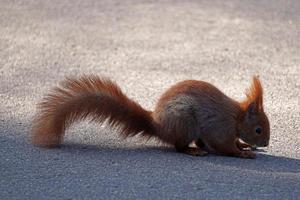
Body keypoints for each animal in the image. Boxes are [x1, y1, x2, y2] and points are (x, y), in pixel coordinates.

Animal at [32, 75, 270, 158]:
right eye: (258, 129)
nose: (266, 143)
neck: (236, 117)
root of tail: (158, 124)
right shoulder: (221, 126)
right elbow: (223, 145)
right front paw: (242, 153)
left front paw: (243, 145)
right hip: (185, 121)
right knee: (179, 146)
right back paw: (192, 151)